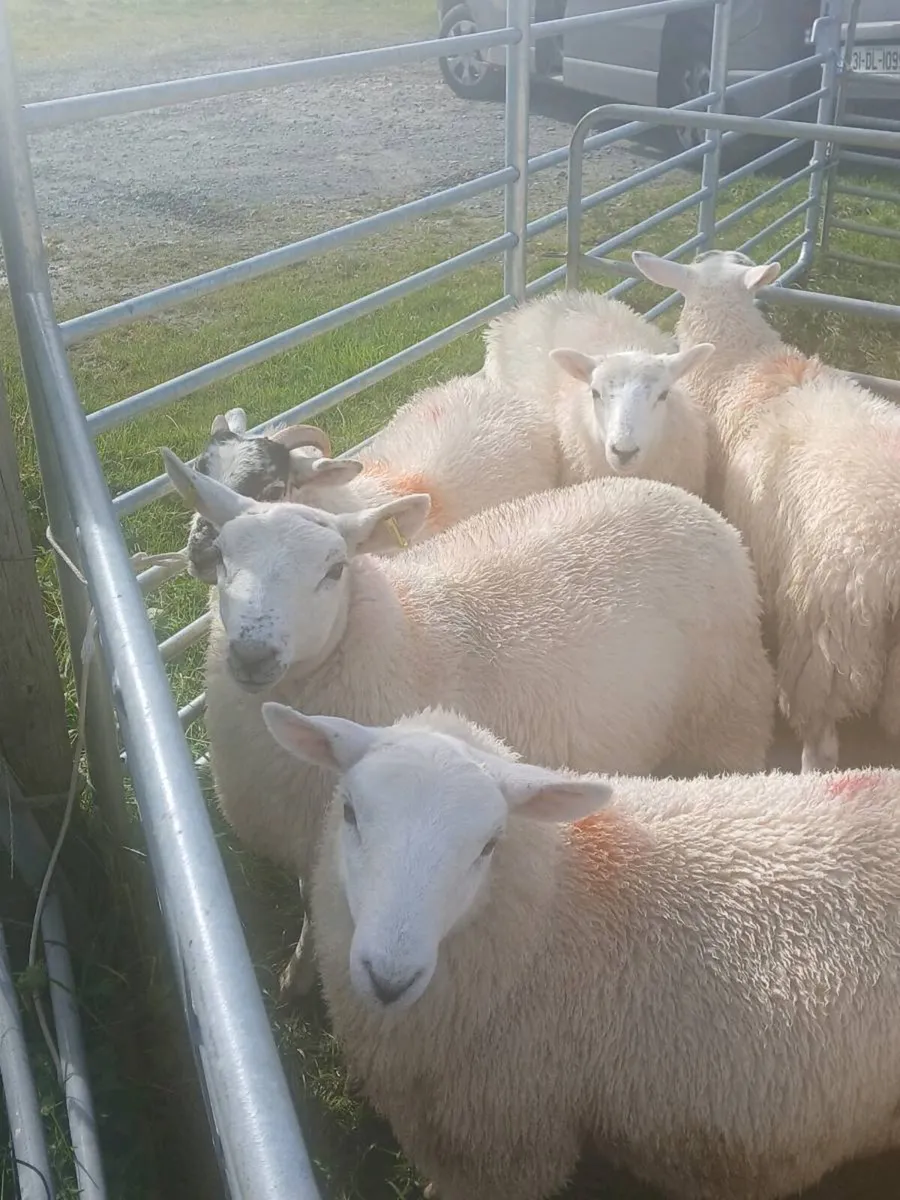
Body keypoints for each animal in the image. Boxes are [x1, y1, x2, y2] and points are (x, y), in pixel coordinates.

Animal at [161, 449, 776, 996]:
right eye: (223, 557)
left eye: (334, 570)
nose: (253, 653)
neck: (404, 637)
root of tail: (678, 497)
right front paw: (295, 977)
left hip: (725, 713)